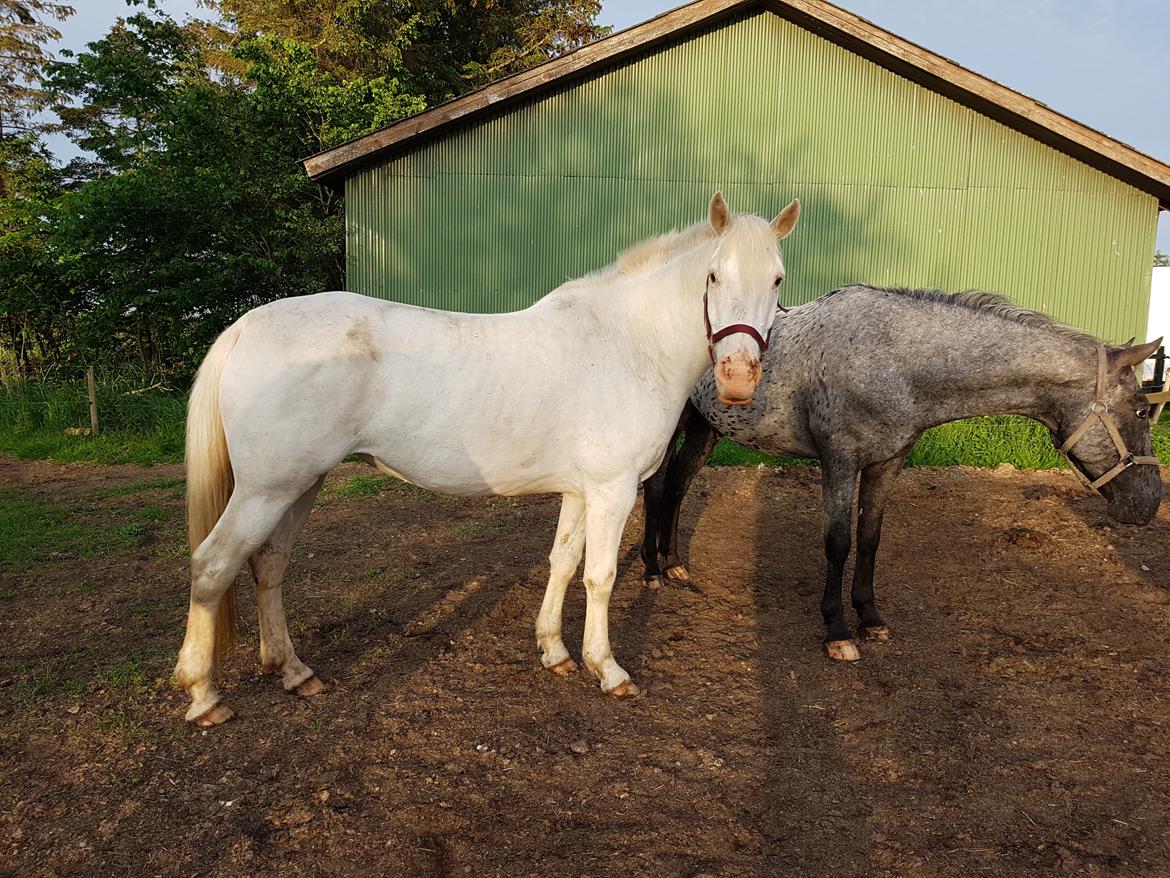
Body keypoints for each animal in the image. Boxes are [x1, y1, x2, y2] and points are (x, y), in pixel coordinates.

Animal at [173, 194, 800, 730]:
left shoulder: (581, 491)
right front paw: (608, 669)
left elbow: (562, 563)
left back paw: (294, 672)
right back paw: (204, 696)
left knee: (268, 565)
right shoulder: (612, 490)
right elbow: (599, 576)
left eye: (777, 280)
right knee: (213, 565)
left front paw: (554, 651)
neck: (628, 344)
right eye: (714, 276)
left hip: (299, 485)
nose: (737, 380)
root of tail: (245, 326)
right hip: (266, 490)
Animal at [641, 285, 1160, 664]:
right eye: (1140, 409)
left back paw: (674, 563)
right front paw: (837, 631)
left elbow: (870, 539)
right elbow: (838, 543)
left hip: (706, 428)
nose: (1148, 504)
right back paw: (650, 570)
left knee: (680, 486)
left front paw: (870, 618)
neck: (896, 360)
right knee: (656, 487)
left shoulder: (887, 463)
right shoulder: (840, 461)